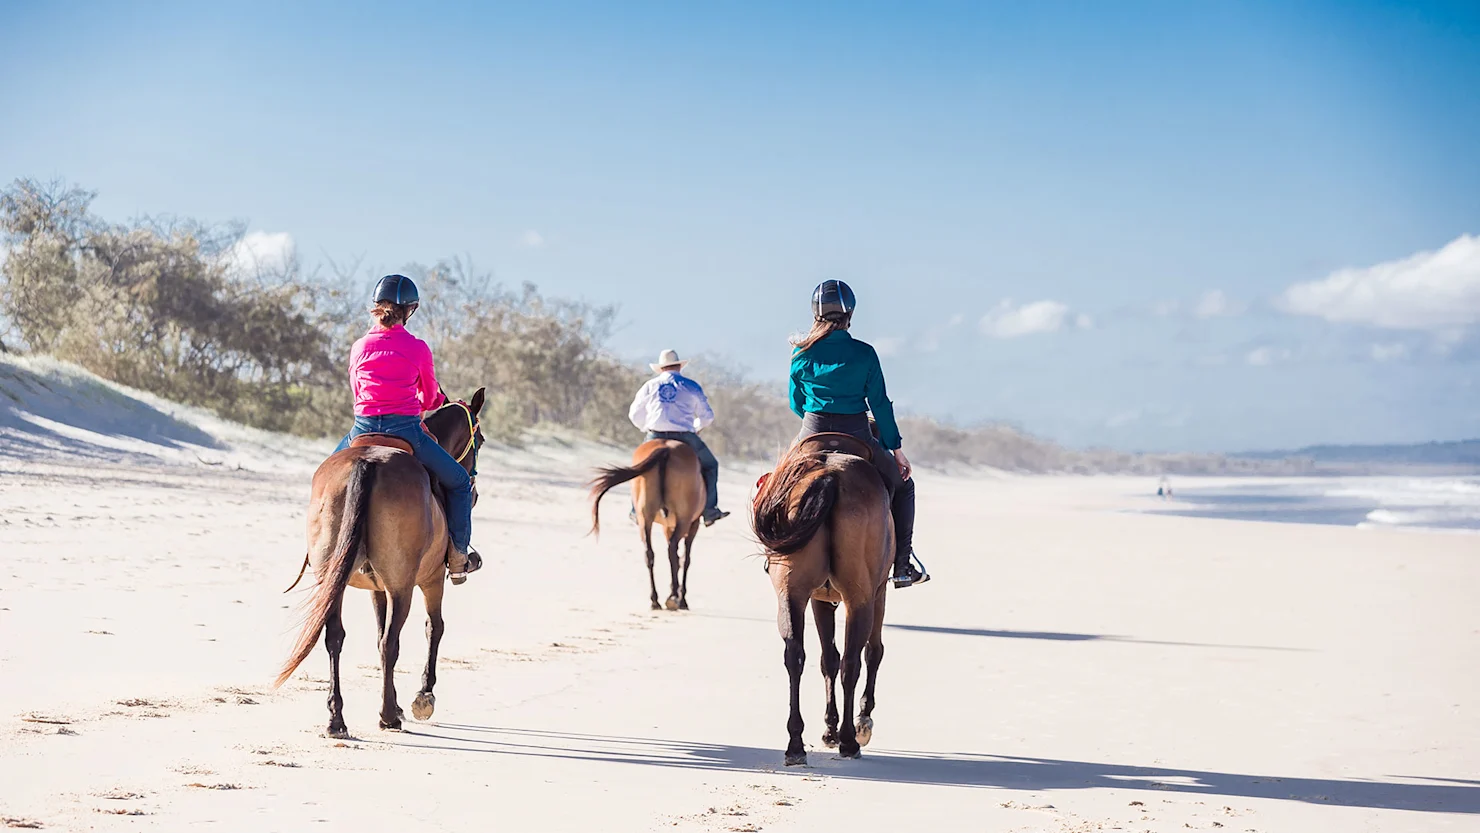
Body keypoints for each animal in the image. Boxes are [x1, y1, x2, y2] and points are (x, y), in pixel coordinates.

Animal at [275, 389, 486, 738]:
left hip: (334, 580)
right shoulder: (431, 579)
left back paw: (337, 719)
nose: (475, 492)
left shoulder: (377, 588)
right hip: (403, 585)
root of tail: (367, 463)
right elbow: (434, 627)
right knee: (391, 642)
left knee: (335, 638)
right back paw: (388, 716)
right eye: (480, 440)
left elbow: (375, 635)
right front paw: (422, 696)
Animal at [588, 439, 705, 611]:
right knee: (672, 551)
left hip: (645, 518)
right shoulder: (693, 524)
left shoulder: (667, 527)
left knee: (649, 554)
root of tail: (666, 449)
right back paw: (673, 598)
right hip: (684, 520)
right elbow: (685, 559)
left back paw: (655, 600)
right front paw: (682, 598)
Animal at [752, 433, 893, 766]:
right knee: (853, 661)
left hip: (791, 592)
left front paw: (829, 729)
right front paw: (861, 722)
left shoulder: (819, 599)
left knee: (795, 655)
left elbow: (827, 658)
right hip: (860, 598)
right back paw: (850, 740)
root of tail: (829, 476)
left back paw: (795, 744)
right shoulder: (878, 592)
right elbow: (872, 652)